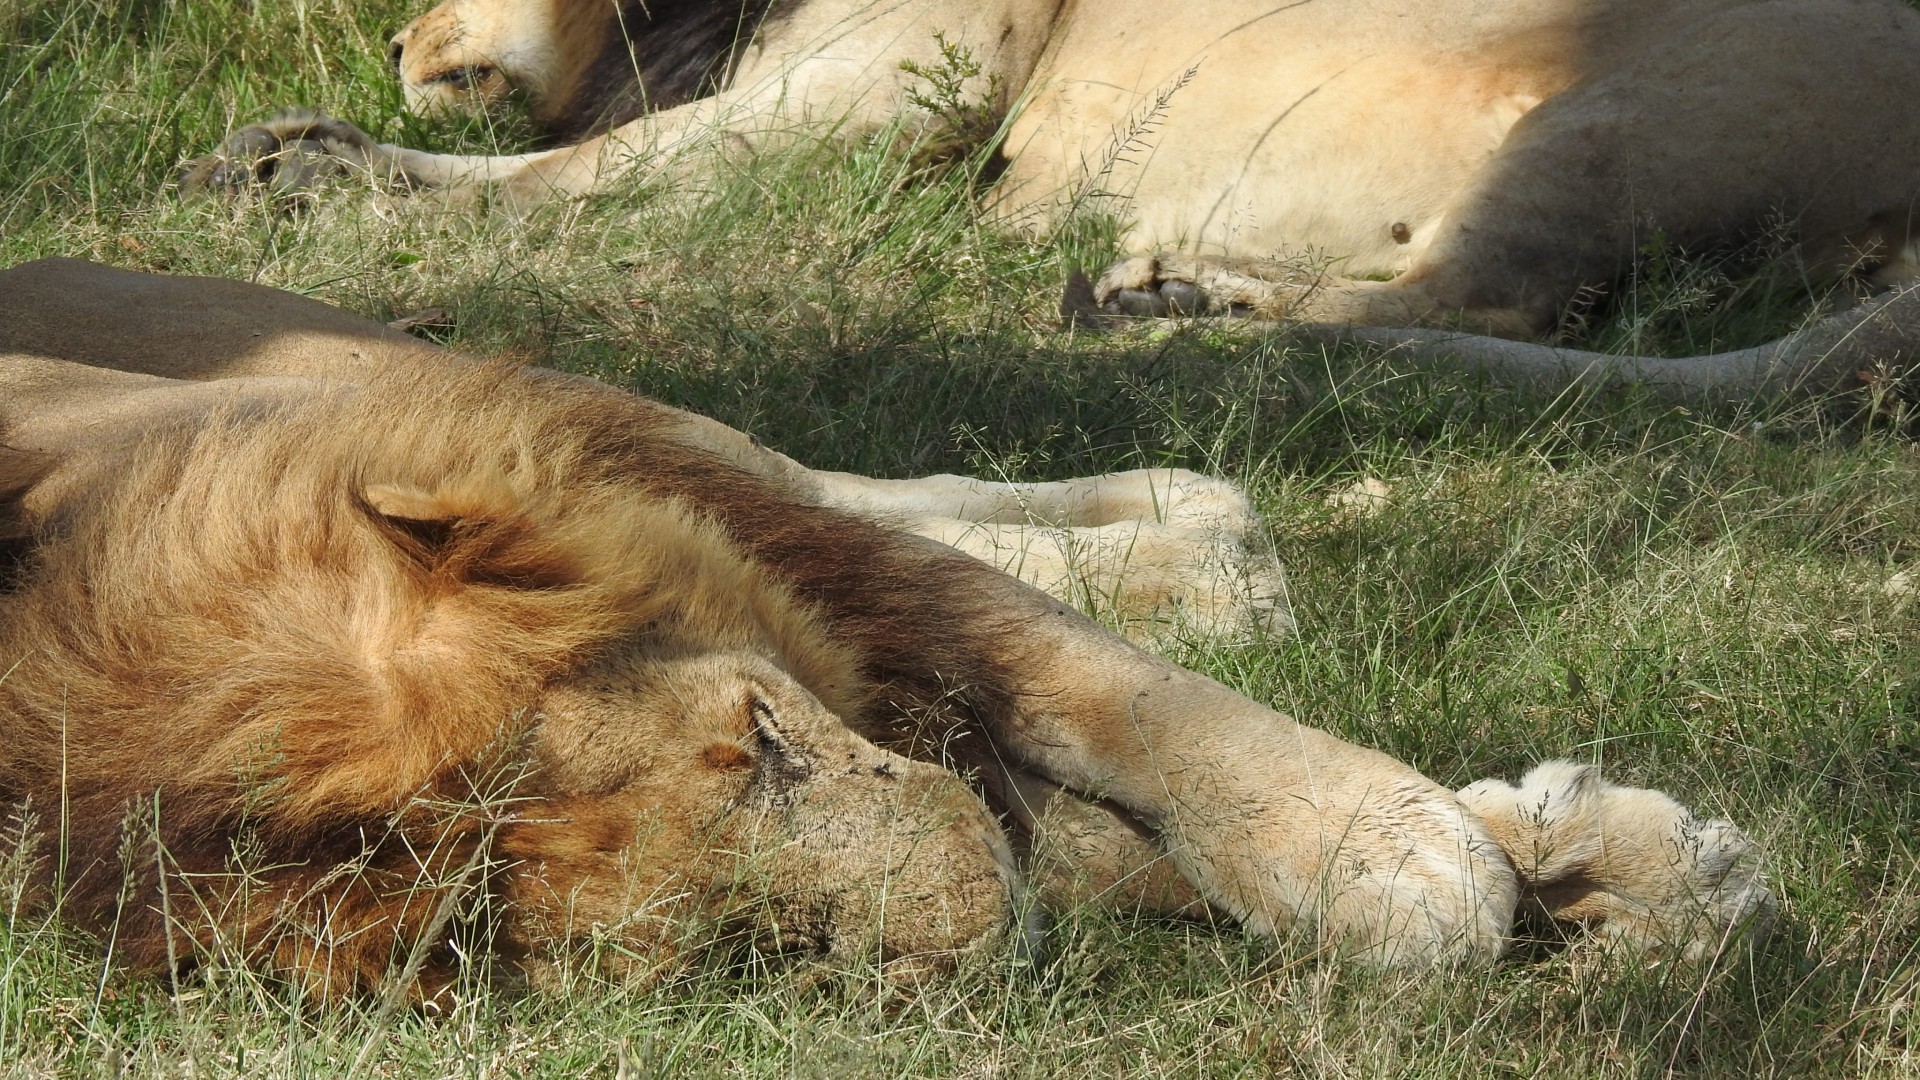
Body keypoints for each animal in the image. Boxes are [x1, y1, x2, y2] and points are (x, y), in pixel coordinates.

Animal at [0, 259, 1766, 991]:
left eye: (764, 741)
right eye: (739, 944)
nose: (985, 941)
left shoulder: (667, 498)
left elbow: (1110, 692)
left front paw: (1413, 860)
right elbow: (1080, 838)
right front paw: (1590, 879)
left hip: (412, 363)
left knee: (923, 491)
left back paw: (1244, 555)